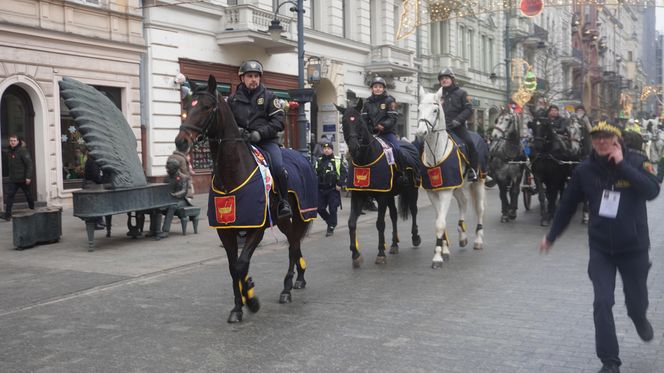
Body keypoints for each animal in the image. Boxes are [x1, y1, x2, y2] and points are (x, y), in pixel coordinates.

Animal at [174, 75, 314, 322]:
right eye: (188, 105)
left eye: (207, 107)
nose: (181, 142)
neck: (233, 173)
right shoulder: (226, 230)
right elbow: (233, 267)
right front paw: (238, 307)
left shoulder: (256, 228)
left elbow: (241, 264)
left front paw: (251, 299)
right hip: (285, 222)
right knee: (294, 245)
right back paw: (299, 278)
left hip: (296, 217)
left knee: (293, 246)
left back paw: (287, 287)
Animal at [338, 99, 420, 268]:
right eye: (343, 122)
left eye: (359, 121)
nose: (354, 147)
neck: (366, 159)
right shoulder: (359, 195)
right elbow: (351, 223)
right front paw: (355, 255)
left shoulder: (381, 197)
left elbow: (380, 223)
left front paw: (381, 253)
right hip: (390, 194)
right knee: (394, 215)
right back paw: (394, 244)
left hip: (412, 189)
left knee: (414, 210)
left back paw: (415, 237)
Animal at [416, 87, 488, 268]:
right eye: (419, 108)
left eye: (435, 110)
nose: (420, 132)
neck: (436, 154)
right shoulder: (435, 191)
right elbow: (439, 219)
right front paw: (444, 249)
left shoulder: (446, 192)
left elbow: (440, 223)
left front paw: (437, 257)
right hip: (458, 186)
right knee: (463, 202)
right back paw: (462, 236)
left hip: (479, 182)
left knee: (479, 209)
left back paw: (478, 241)